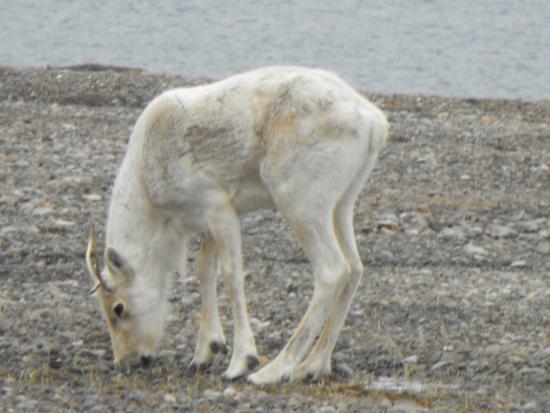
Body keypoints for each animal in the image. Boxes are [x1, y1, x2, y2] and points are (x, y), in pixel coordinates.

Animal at [85, 66, 388, 384]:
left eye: (118, 308)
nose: (128, 361)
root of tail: (375, 124)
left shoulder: (219, 208)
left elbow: (231, 277)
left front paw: (240, 361)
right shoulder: (209, 219)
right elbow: (204, 270)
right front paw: (203, 354)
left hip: (303, 205)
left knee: (333, 271)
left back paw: (273, 370)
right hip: (341, 204)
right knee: (355, 267)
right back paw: (312, 366)